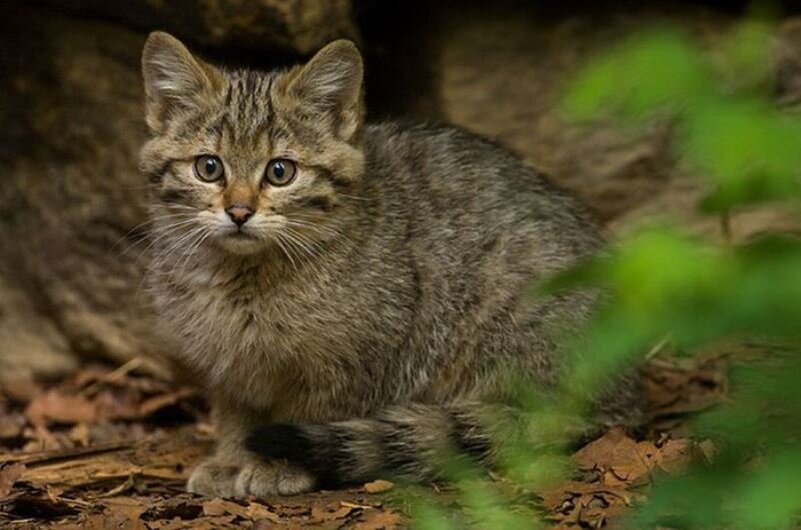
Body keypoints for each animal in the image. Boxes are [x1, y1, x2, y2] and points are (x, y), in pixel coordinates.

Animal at [139, 32, 644, 496]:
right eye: (208, 167)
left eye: (280, 172)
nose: (239, 211)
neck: (245, 279)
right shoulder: (227, 368)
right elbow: (233, 417)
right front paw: (229, 460)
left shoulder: (356, 358)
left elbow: (312, 412)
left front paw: (278, 465)